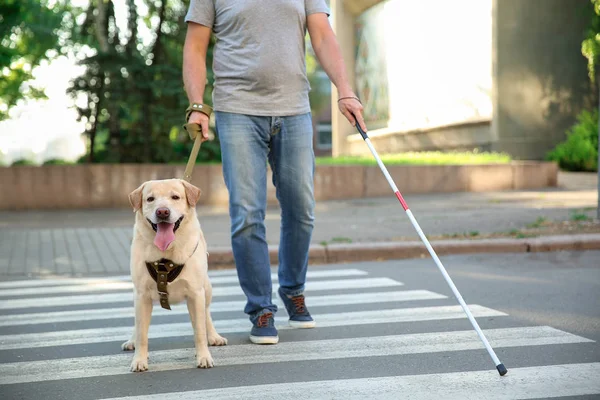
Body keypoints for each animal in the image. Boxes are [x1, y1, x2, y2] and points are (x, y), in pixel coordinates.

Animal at [122, 178, 227, 372]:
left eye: (175, 197)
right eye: (150, 199)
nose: (162, 211)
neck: (166, 255)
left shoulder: (196, 293)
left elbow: (199, 331)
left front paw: (204, 356)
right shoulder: (142, 295)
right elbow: (142, 334)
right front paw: (139, 359)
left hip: (206, 288)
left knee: (206, 314)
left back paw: (214, 336)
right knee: (138, 324)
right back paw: (131, 340)